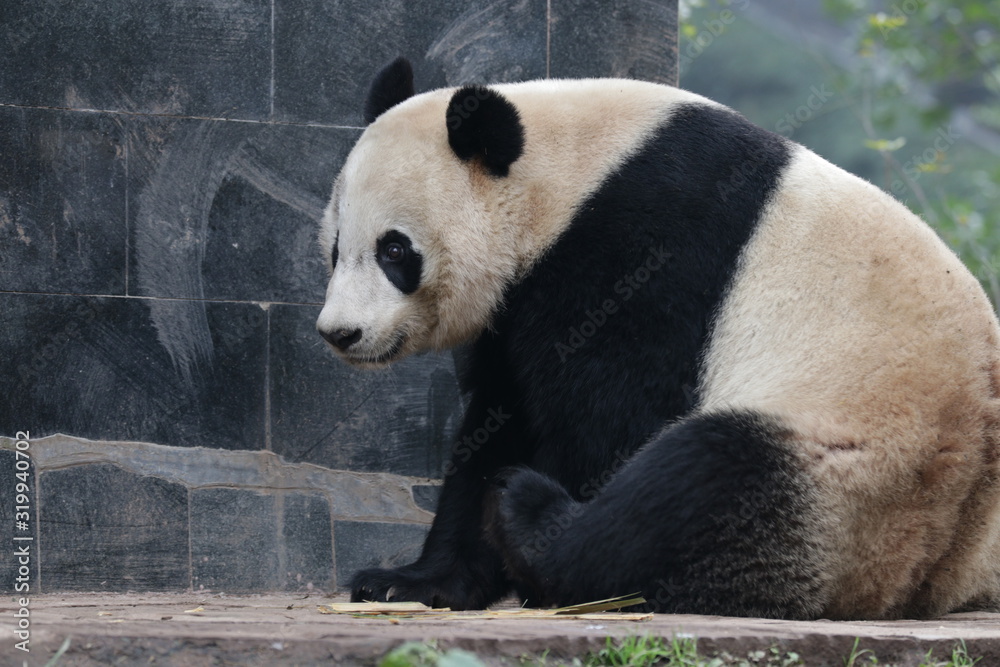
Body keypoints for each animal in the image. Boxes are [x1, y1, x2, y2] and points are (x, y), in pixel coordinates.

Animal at [315, 57, 1000, 620]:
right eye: (335, 248)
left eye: (395, 251)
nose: (341, 333)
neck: (564, 178)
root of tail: (932, 576)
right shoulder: (521, 303)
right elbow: (499, 419)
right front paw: (410, 582)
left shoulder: (647, 253)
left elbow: (609, 414)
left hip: (861, 469)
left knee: (704, 485)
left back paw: (533, 518)